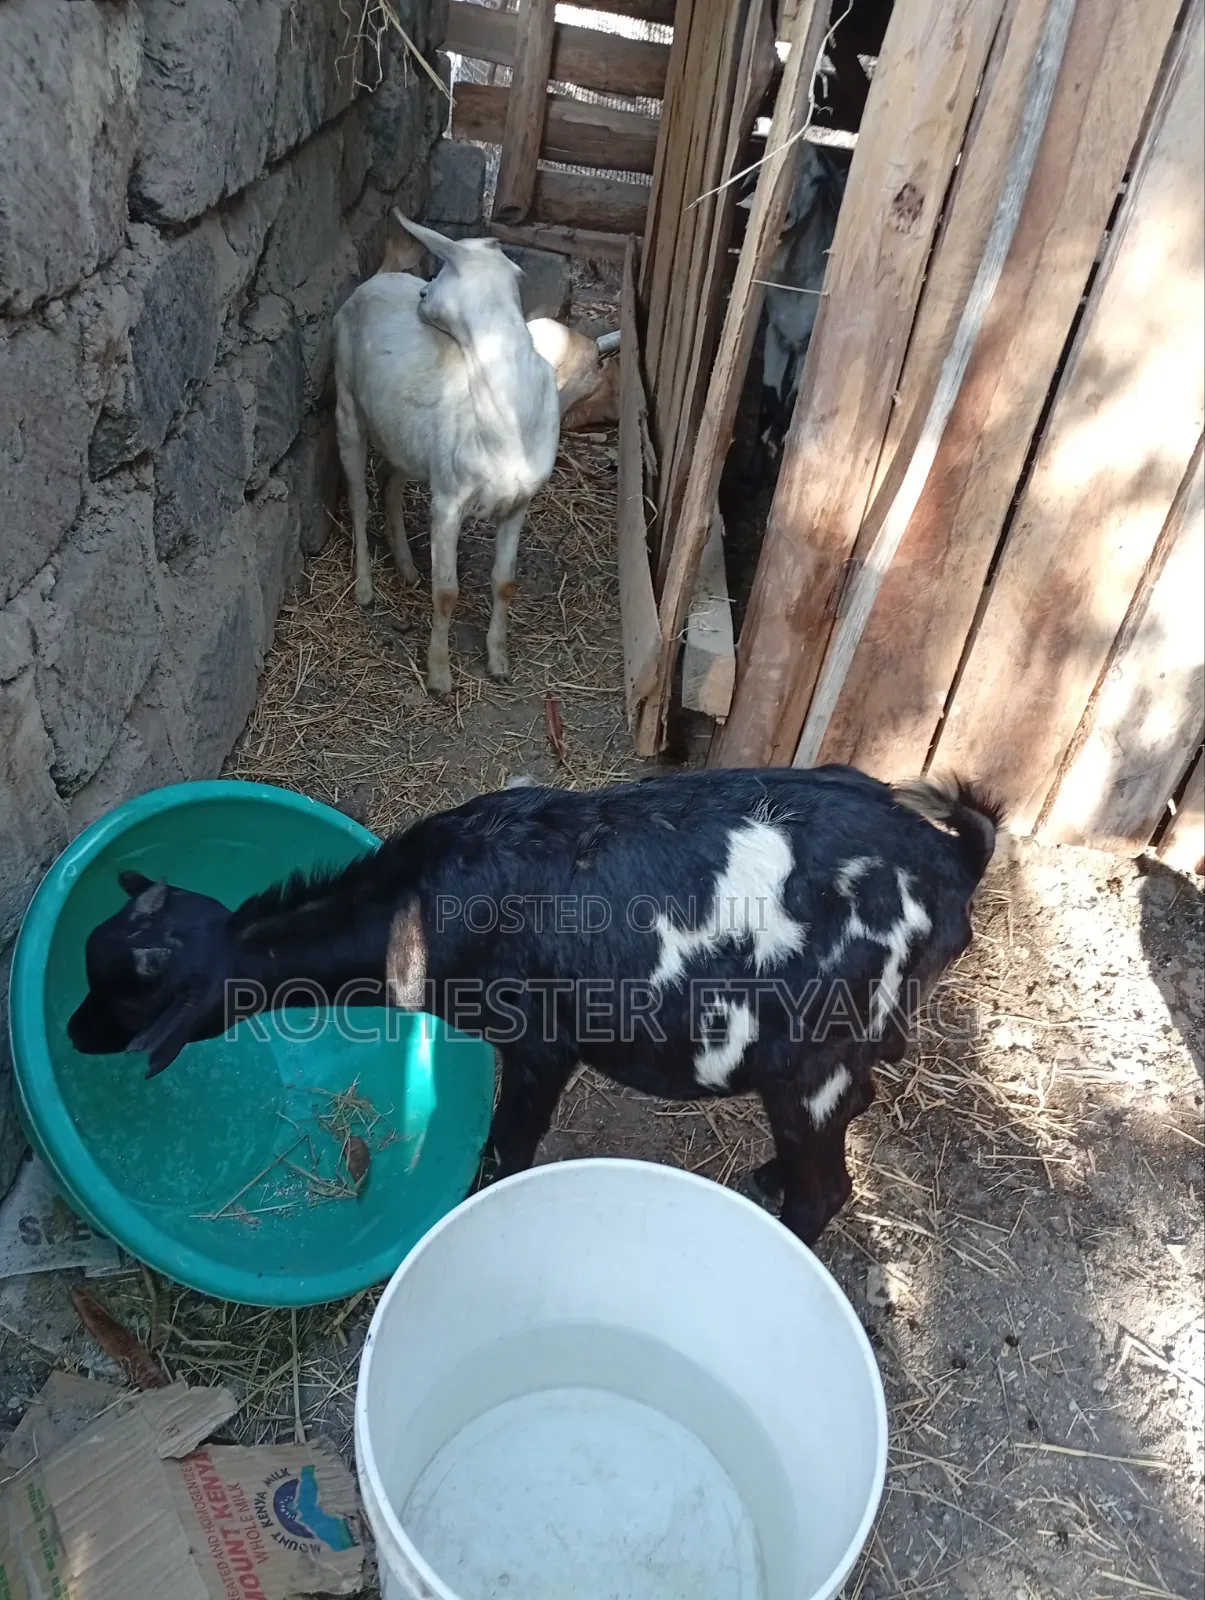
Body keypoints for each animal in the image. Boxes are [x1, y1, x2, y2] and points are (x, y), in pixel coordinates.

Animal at [68, 767, 1003, 1246]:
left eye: (126, 997)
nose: (72, 1033)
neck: (415, 904)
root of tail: (956, 863)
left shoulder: (538, 1046)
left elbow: (508, 1146)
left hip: (810, 1054)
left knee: (826, 1188)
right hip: (851, 1040)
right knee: (856, 1103)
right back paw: (769, 1176)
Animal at [333, 214, 560, 694]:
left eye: (437, 276)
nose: (420, 296)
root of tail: (380, 276)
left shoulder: (520, 501)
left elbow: (505, 582)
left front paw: (498, 661)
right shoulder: (448, 501)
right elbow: (447, 592)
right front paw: (438, 675)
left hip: (404, 440)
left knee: (389, 481)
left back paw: (405, 567)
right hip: (346, 404)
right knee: (359, 500)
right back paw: (365, 589)